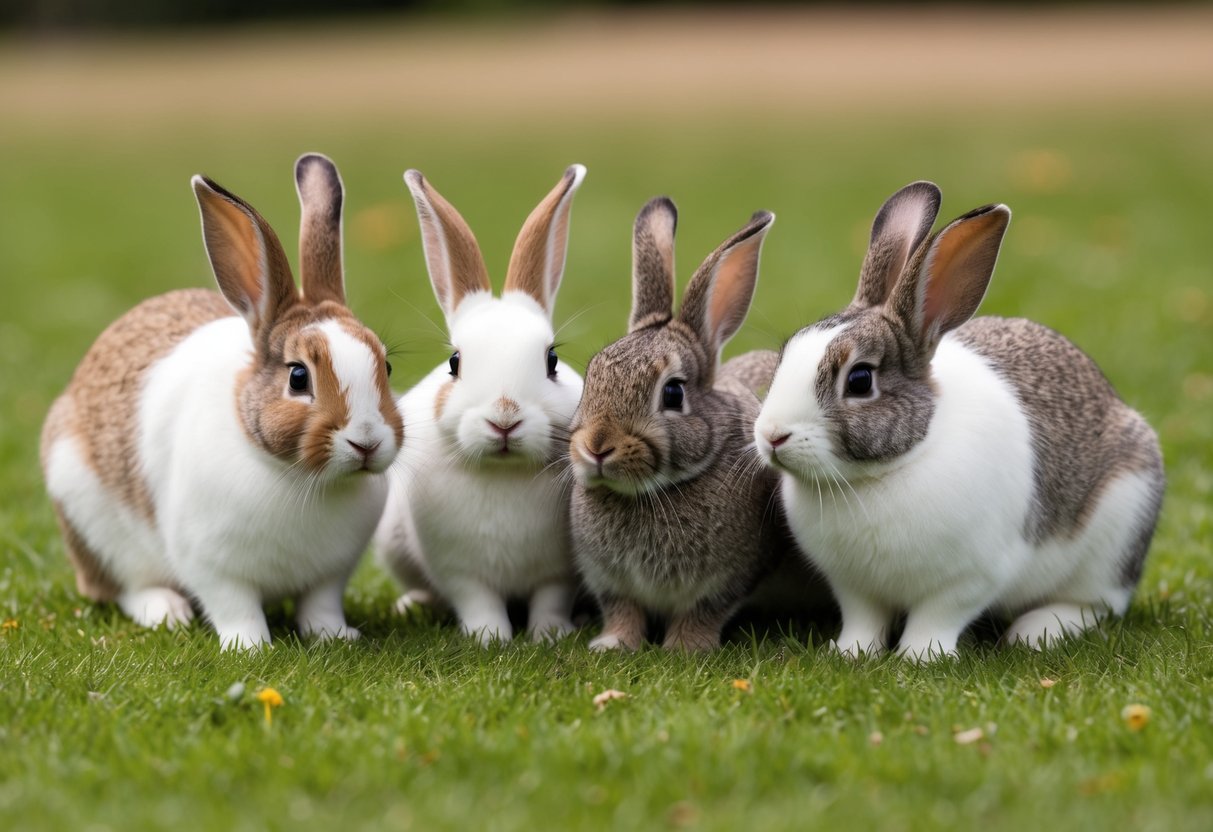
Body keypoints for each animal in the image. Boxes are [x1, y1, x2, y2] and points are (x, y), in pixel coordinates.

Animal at [40, 154, 402, 650]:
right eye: (298, 377)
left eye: (386, 367)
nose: (366, 442)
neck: (301, 478)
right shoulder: (212, 566)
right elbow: (236, 607)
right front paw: (250, 647)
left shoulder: (331, 575)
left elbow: (320, 605)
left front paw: (336, 636)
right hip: (93, 526)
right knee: (123, 587)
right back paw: (165, 611)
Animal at [376, 162, 589, 645]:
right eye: (454, 363)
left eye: (551, 361)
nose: (504, 418)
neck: (503, 473)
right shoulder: (460, 572)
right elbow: (478, 601)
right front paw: (490, 637)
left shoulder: (559, 572)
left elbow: (550, 600)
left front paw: (551, 635)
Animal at [756, 181, 1164, 664]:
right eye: (784, 356)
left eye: (859, 380)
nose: (771, 435)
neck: (880, 474)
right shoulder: (854, 588)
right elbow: (864, 619)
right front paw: (850, 653)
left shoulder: (969, 579)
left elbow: (937, 618)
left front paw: (920, 658)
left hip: (1120, 528)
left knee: (1097, 603)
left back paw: (1035, 630)